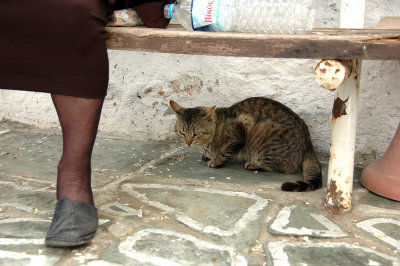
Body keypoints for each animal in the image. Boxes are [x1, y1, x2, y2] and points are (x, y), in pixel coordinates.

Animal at [170, 97, 322, 191]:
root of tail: (309, 145)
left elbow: (227, 151)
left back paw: (252, 165)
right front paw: (206, 155)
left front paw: (216, 161)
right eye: (182, 133)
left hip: (263, 128)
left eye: (196, 133)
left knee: (285, 168)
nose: (188, 143)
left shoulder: (244, 124)